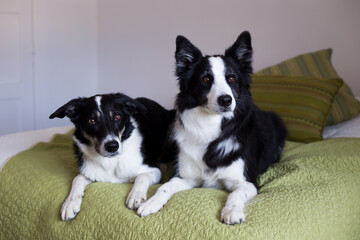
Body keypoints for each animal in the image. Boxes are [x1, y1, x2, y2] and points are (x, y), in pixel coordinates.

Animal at [136, 31, 288, 225]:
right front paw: (151, 202)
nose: (226, 100)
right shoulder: (186, 177)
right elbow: (165, 187)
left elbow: (235, 194)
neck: (210, 127)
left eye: (231, 78)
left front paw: (232, 211)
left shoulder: (247, 181)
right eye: (206, 79)